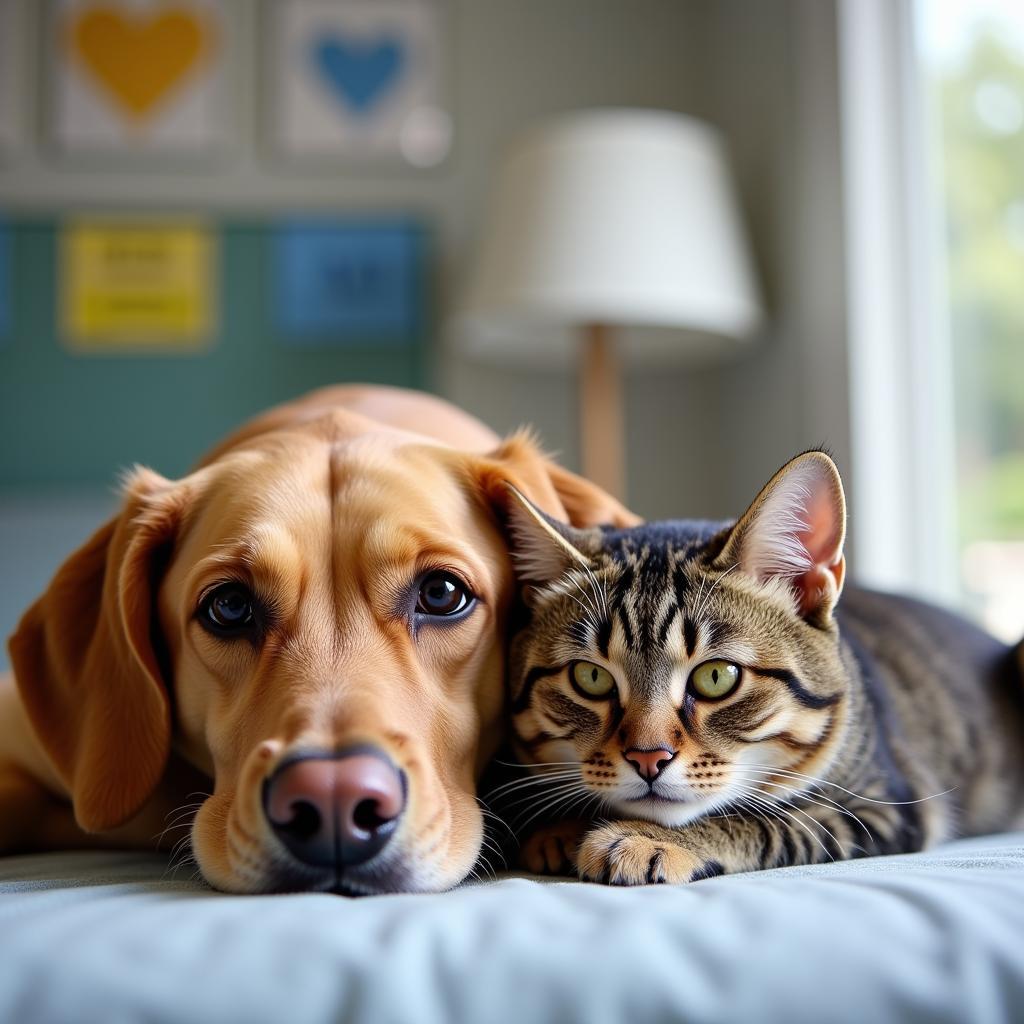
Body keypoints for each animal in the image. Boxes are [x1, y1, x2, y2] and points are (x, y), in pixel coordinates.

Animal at [497, 452, 1024, 884]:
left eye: (716, 677)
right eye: (591, 677)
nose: (648, 759)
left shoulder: (886, 805)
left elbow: (770, 820)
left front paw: (646, 838)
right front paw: (560, 828)